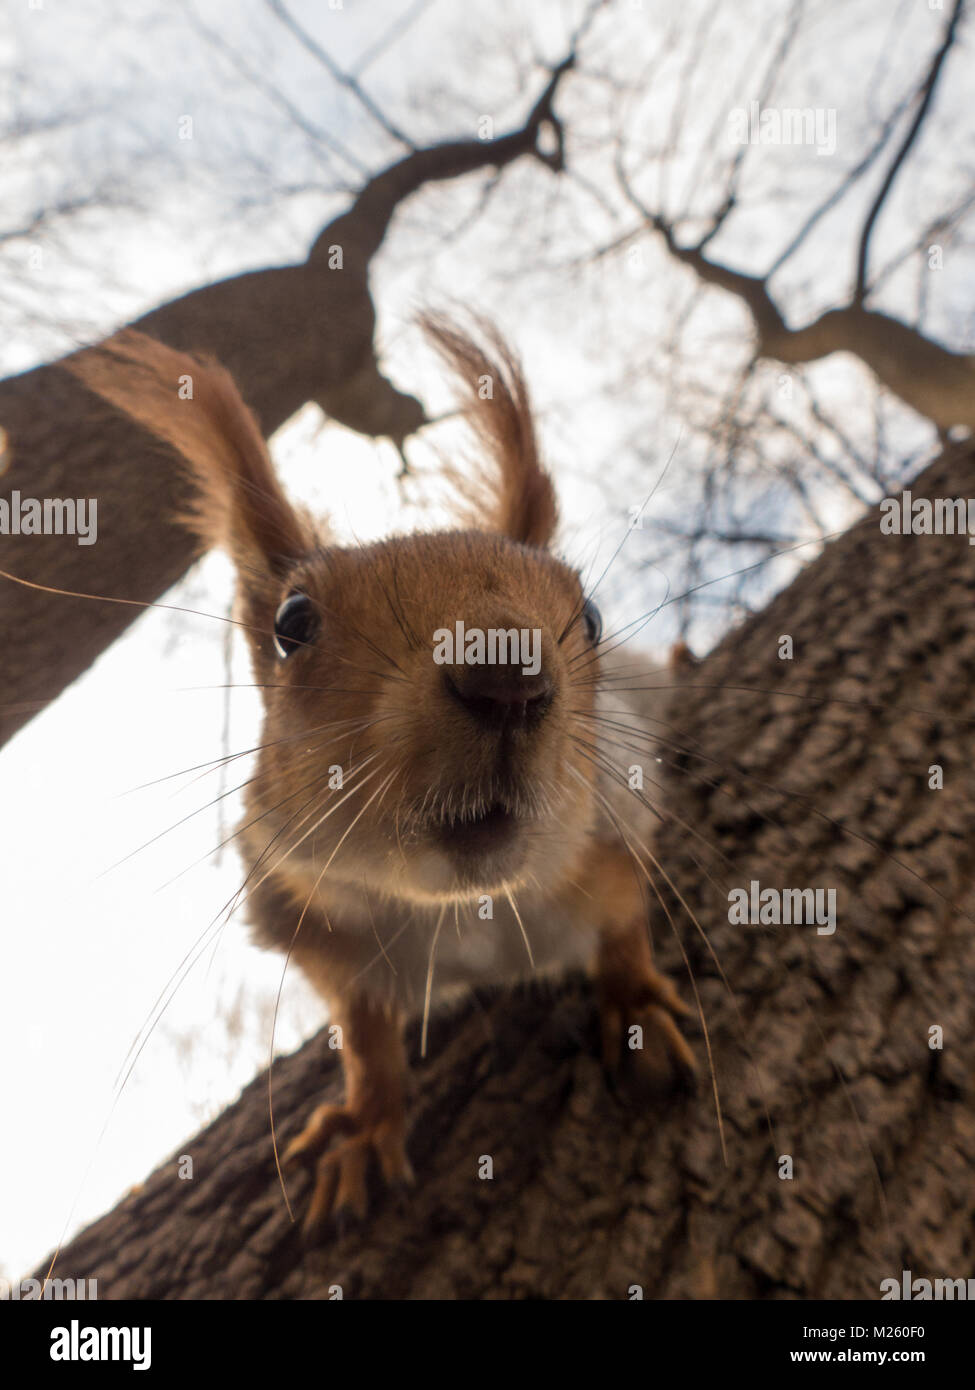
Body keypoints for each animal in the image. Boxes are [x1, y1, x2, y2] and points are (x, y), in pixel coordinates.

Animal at [68, 322, 692, 1239]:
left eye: (592, 615)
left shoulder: (612, 839)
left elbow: (622, 930)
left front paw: (639, 1005)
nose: (506, 676)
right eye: (293, 623)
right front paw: (364, 1125)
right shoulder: (313, 925)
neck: (460, 913)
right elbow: (364, 1043)